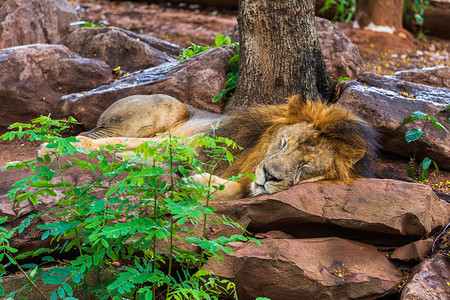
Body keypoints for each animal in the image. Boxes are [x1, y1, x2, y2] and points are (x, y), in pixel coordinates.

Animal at [41, 94, 376, 202]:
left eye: (306, 167)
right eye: (283, 143)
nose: (270, 175)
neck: (257, 152)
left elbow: (239, 188)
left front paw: (196, 183)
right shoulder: (183, 143)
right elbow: (130, 147)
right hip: (166, 110)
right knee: (98, 135)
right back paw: (59, 146)